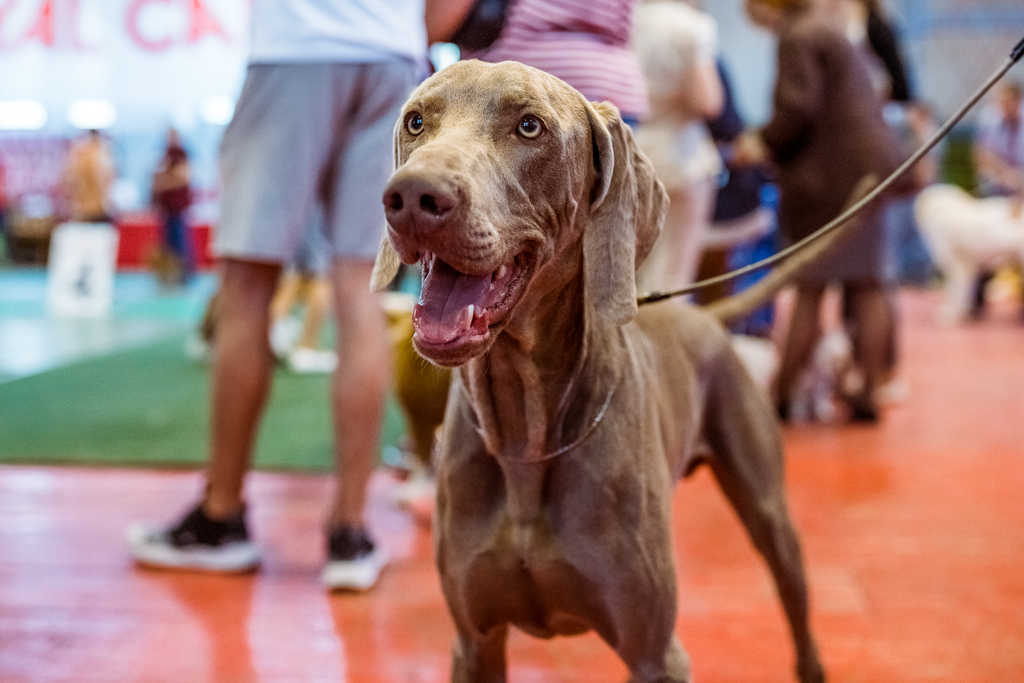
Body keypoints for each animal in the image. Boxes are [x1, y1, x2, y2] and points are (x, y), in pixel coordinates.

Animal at [372, 58, 827, 683]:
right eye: (417, 120)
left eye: (530, 126)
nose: (414, 195)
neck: (526, 434)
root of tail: (705, 315)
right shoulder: (474, 642)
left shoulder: (655, 653)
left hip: (770, 515)